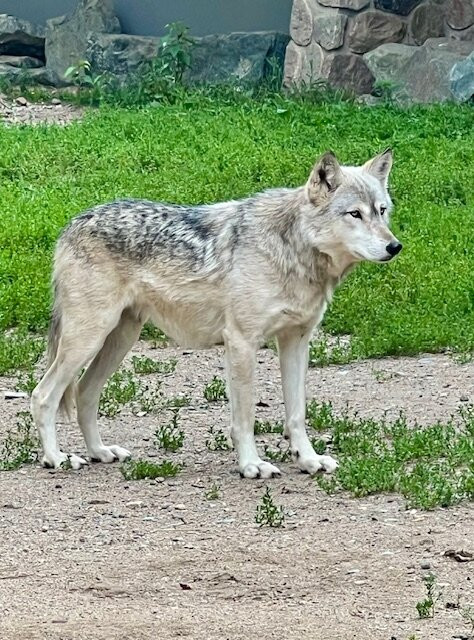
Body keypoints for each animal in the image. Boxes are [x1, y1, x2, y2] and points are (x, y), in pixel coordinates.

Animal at [31, 149, 402, 479]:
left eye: (382, 211)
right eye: (355, 214)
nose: (395, 246)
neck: (292, 249)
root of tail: (71, 224)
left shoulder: (296, 342)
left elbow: (297, 414)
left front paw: (308, 460)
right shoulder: (241, 342)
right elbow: (245, 417)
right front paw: (252, 466)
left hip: (119, 339)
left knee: (84, 393)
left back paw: (99, 452)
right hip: (88, 340)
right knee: (43, 395)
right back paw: (56, 458)